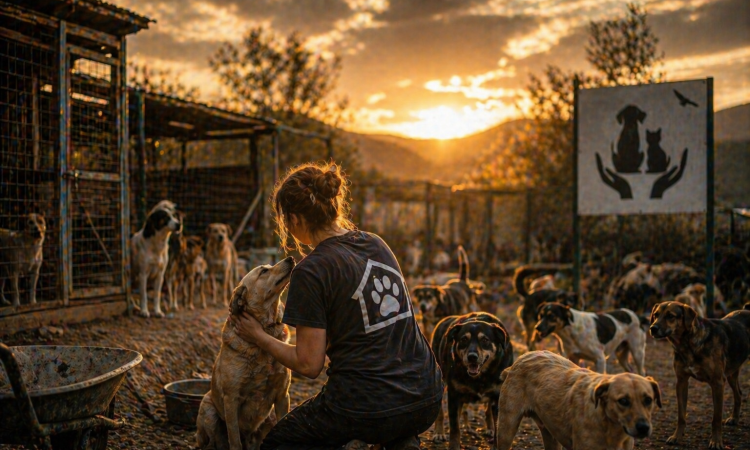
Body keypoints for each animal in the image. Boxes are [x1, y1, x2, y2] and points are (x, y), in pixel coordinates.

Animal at [195, 257, 294, 450]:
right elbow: (234, 439)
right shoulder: (231, 399)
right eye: (264, 271)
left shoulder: (282, 395)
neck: (265, 330)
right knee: (211, 443)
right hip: (207, 407)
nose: (290, 258)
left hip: (269, 418)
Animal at [431, 312, 513, 450]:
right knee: (442, 412)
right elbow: (454, 428)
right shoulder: (454, 395)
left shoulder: (498, 395)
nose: (472, 357)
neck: (480, 377)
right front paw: (454, 446)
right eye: (464, 339)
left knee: (488, 410)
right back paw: (439, 432)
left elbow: (498, 428)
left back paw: (489, 428)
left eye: (485, 340)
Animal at [495, 350, 661, 450]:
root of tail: (522, 357)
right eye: (623, 401)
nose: (643, 427)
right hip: (506, 428)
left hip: (551, 434)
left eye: (648, 400)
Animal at [649, 301, 750, 450]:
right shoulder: (681, 381)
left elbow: (716, 418)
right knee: (738, 393)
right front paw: (676, 437)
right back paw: (734, 419)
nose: (653, 328)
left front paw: (716, 441)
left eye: (670, 316)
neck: (687, 344)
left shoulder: (718, 383)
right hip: (731, 372)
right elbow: (681, 416)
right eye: (656, 315)